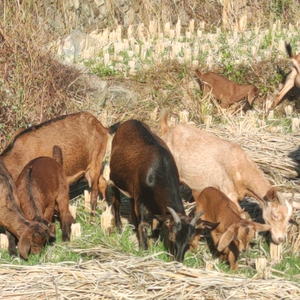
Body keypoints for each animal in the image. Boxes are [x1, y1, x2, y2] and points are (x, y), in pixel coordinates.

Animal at [109, 119, 217, 262]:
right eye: (171, 236)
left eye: (190, 241)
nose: (178, 260)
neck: (160, 171)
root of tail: (129, 121)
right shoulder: (141, 198)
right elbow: (144, 223)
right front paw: (144, 249)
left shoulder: (157, 205)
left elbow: (158, 223)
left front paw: (154, 243)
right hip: (114, 178)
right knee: (116, 200)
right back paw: (118, 227)